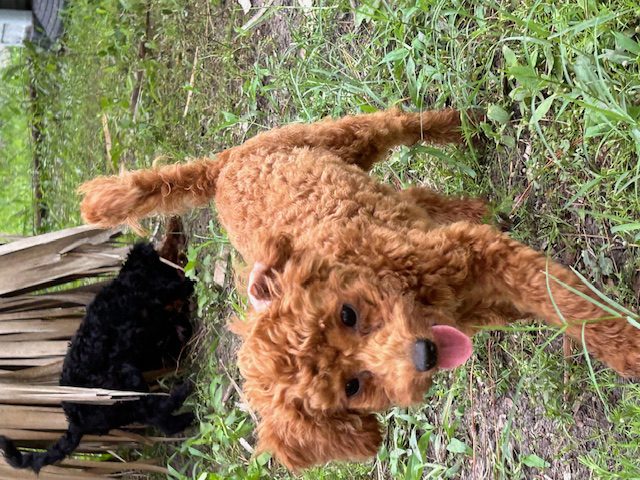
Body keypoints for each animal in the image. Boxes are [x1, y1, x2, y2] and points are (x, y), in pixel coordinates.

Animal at [0, 244, 195, 472]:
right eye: (162, 266)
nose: (178, 268)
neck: (126, 284)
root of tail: (76, 423)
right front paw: (189, 286)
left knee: (157, 418)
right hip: (124, 385)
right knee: (154, 411)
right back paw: (183, 395)